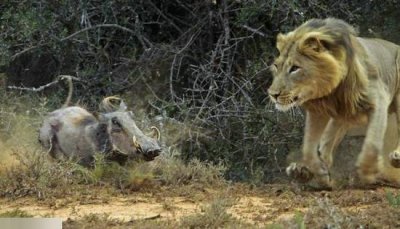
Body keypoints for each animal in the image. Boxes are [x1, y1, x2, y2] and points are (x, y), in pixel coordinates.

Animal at [268, 18, 400, 188]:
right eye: (276, 66)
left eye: (295, 68)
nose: (273, 94)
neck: (331, 91)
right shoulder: (318, 111)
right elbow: (309, 148)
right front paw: (320, 173)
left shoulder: (378, 99)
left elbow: (372, 143)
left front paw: (367, 174)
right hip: (343, 115)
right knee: (326, 143)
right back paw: (301, 171)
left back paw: (396, 158)